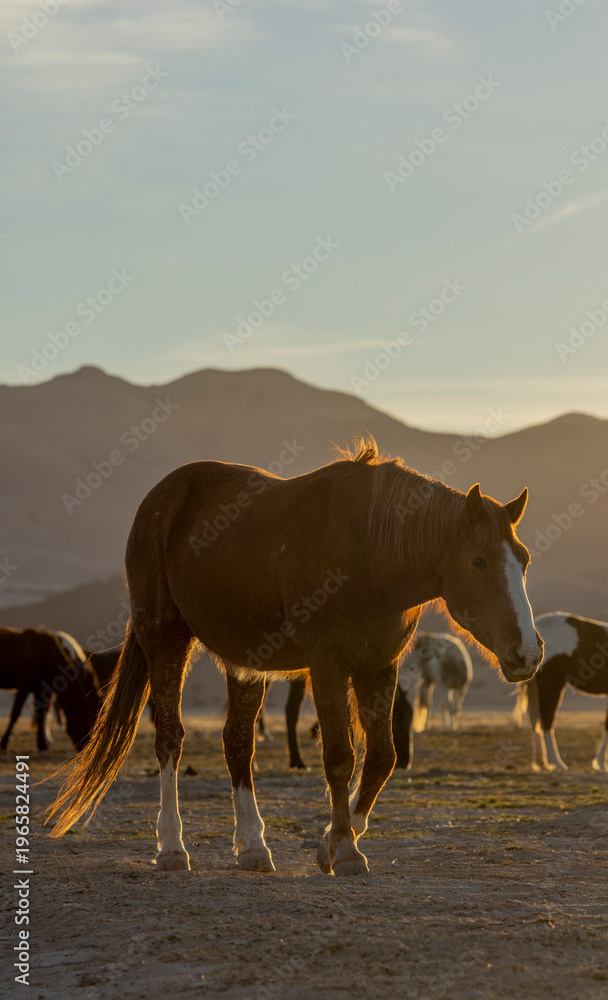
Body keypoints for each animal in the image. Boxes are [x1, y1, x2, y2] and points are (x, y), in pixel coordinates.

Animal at [46, 440, 543, 877]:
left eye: (523, 559)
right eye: (478, 560)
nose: (528, 650)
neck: (372, 555)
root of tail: (162, 497)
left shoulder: (379, 666)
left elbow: (382, 757)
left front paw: (331, 844)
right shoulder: (327, 666)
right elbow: (340, 757)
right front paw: (345, 849)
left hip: (244, 663)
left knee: (237, 744)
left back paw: (252, 846)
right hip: (165, 639)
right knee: (170, 739)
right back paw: (171, 847)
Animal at [515, 612, 608, 772]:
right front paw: (600, 763)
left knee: (535, 717)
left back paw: (540, 762)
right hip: (553, 685)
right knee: (546, 718)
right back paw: (556, 761)